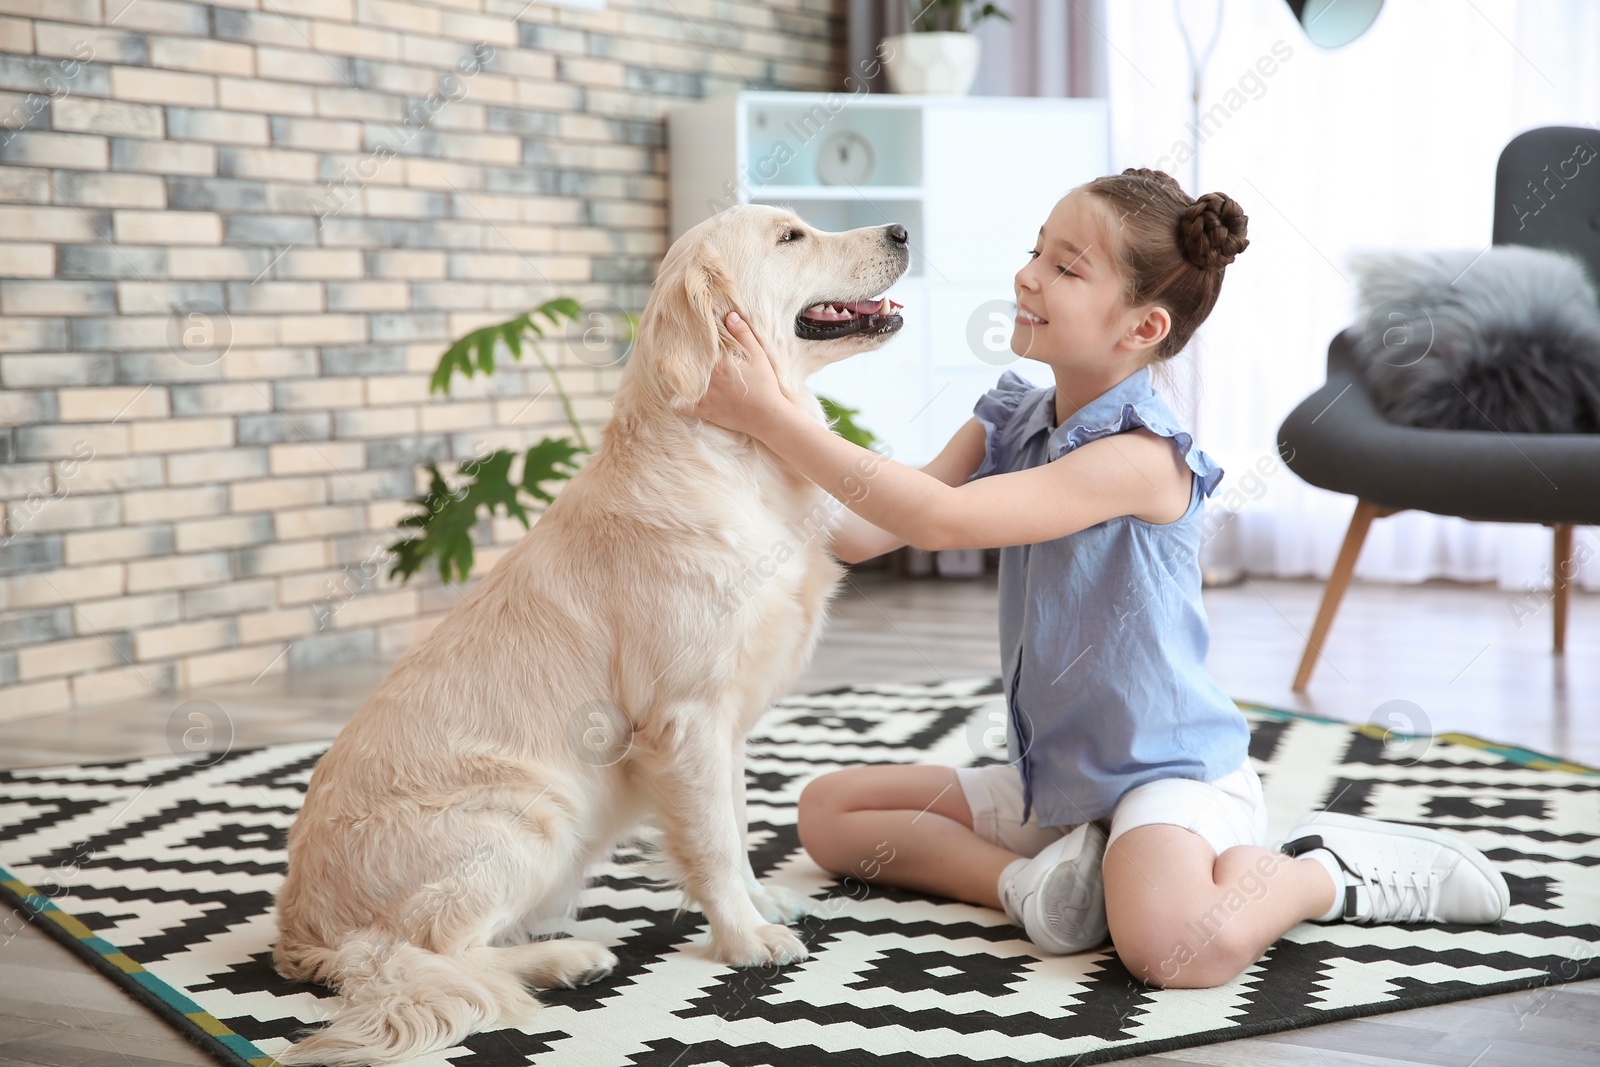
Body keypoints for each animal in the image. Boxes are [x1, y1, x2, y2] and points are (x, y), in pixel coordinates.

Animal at [268, 204, 908, 1062]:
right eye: (790, 238)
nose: (902, 231)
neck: (734, 458)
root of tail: (305, 933)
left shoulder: (726, 725)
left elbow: (735, 827)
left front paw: (759, 904)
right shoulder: (686, 718)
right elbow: (711, 841)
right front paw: (744, 940)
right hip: (527, 814)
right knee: (429, 950)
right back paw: (568, 957)